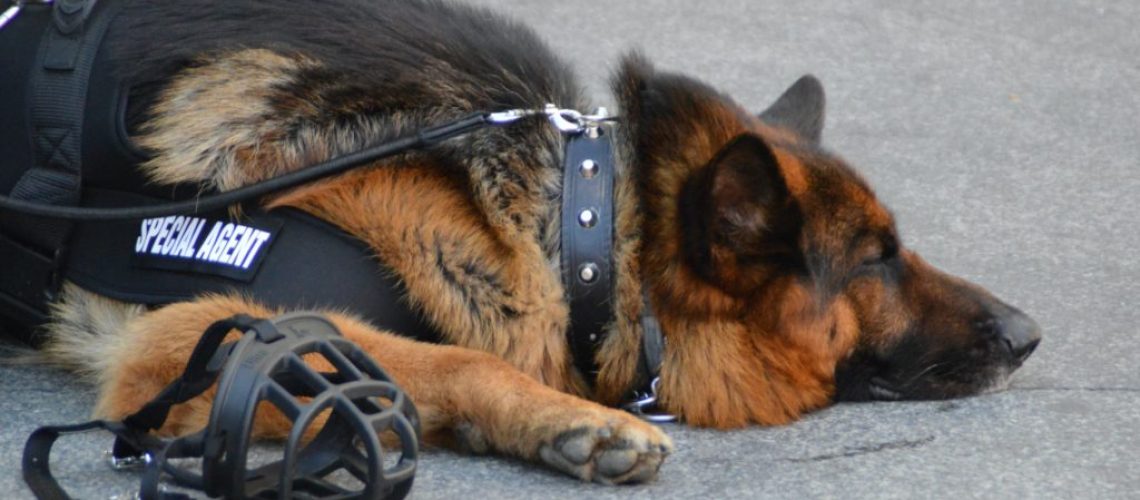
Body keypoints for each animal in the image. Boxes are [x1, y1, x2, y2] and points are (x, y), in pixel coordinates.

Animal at [40, 0, 1044, 487]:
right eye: (875, 258)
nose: (1030, 335)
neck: (578, 228)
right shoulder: (188, 334)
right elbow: (438, 358)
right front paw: (568, 423)